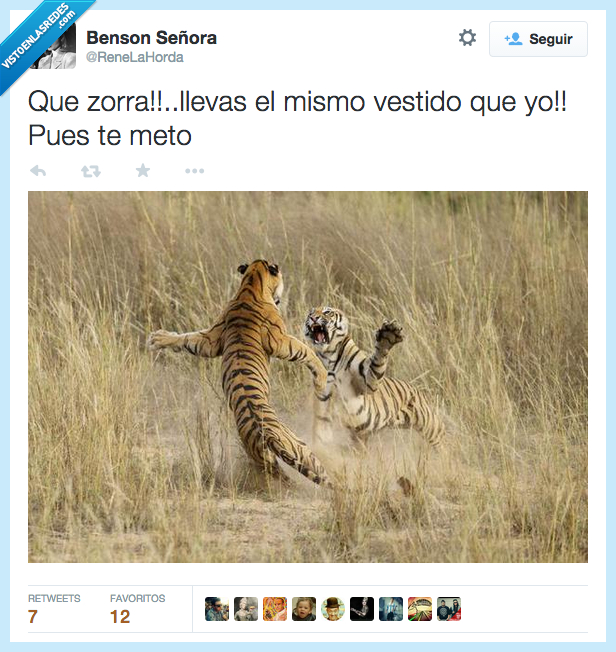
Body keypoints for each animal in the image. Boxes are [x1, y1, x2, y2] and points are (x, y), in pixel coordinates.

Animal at [147, 260, 331, 486]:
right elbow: (305, 350)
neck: (250, 285)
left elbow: (188, 338)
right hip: (302, 449)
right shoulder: (280, 341)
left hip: (270, 458)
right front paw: (322, 376)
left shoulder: (211, 340)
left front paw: (158, 338)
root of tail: (268, 436)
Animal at [304, 306, 446, 448]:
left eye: (327, 312)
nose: (313, 318)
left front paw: (388, 335)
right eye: (311, 313)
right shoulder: (323, 396)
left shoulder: (366, 380)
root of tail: (418, 391)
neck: (329, 355)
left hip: (431, 426)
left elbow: (378, 360)